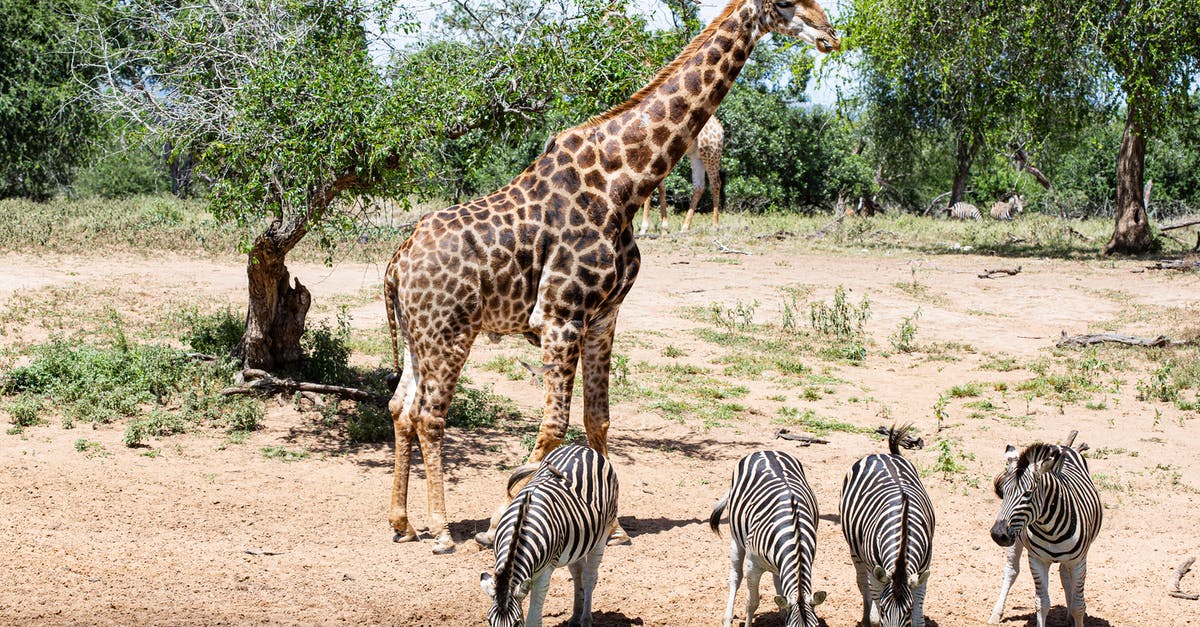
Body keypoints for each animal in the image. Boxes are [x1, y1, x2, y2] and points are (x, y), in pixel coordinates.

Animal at [381, 0, 835, 552]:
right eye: (786, 4)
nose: (830, 33)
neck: (625, 183)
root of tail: (397, 261)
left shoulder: (603, 317)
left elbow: (596, 420)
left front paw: (613, 527)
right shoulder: (559, 316)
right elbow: (554, 426)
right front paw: (497, 522)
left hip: (417, 335)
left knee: (400, 409)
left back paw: (402, 522)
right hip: (450, 332)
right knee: (430, 415)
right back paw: (443, 529)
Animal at [477, 442, 619, 624]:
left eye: (516, 623)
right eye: (489, 620)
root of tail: (582, 447)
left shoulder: (544, 573)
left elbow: (533, 619)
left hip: (603, 532)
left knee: (589, 576)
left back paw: (586, 619)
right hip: (577, 540)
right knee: (577, 572)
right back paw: (575, 616)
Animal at [705, 449, 830, 624]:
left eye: (816, 625)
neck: (795, 533)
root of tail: (766, 451)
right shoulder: (752, 565)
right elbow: (752, 603)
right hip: (736, 539)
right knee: (736, 577)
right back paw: (727, 619)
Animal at [840, 422, 931, 619]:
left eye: (908, 611)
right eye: (883, 609)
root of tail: (883, 455)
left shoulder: (922, 572)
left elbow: (919, 617)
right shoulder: (875, 573)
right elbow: (875, 617)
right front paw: (872, 618)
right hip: (855, 552)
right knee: (861, 583)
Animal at [988, 439, 1099, 624]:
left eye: (1028, 494)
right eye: (1004, 492)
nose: (998, 534)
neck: (1051, 531)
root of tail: (1062, 445)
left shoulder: (1079, 562)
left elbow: (1079, 607)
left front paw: (1074, 614)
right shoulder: (1037, 560)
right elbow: (1042, 604)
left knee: (1064, 574)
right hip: (1016, 541)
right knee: (1011, 571)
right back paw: (996, 613)